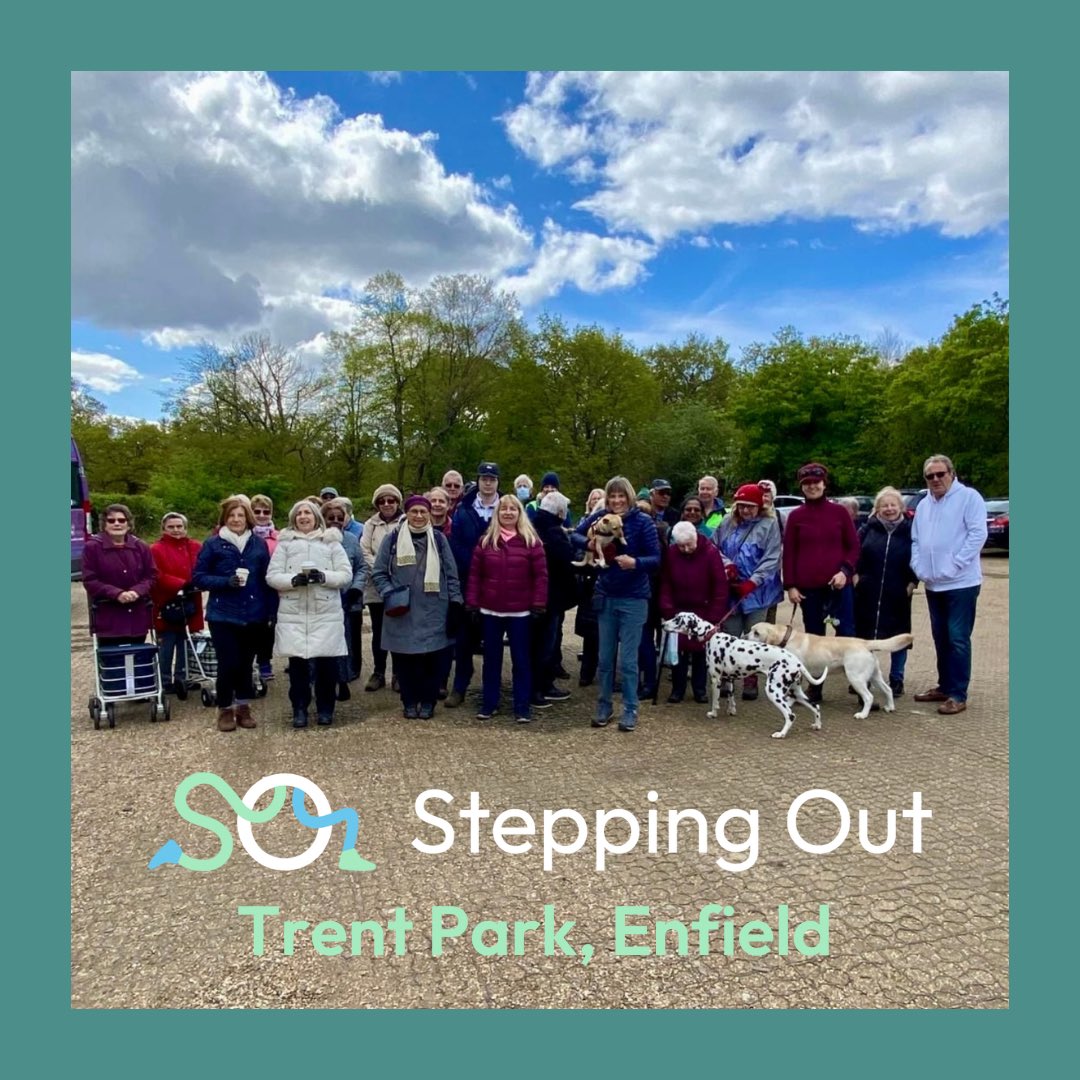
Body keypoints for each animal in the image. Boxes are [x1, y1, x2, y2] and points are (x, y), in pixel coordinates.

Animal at [656, 613, 825, 738]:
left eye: (678, 620)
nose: (663, 625)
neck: (712, 636)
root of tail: (796, 661)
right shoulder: (729, 679)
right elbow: (731, 698)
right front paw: (731, 711)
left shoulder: (716, 679)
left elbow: (715, 701)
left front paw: (713, 713)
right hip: (796, 692)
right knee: (815, 706)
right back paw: (817, 725)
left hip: (774, 691)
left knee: (790, 715)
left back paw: (781, 734)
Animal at [747, 622, 915, 721]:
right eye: (751, 630)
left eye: (756, 633)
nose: (744, 635)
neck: (786, 638)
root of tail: (865, 642)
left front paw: (790, 701)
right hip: (874, 676)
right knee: (888, 689)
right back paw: (890, 707)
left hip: (856, 677)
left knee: (869, 697)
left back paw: (862, 714)